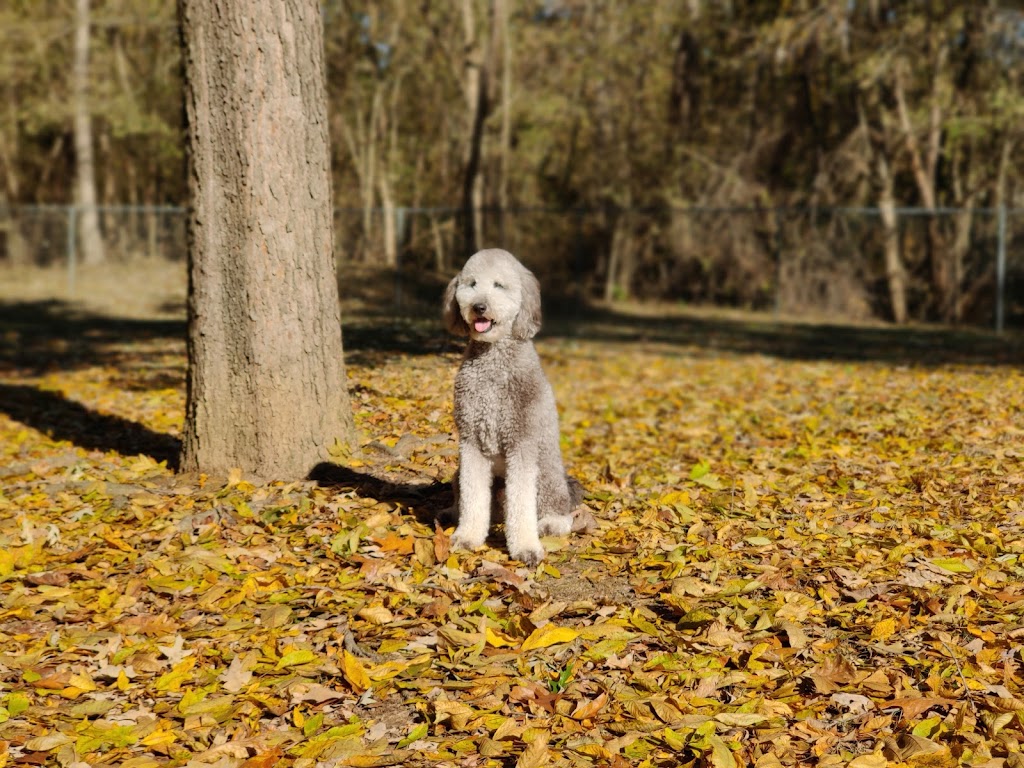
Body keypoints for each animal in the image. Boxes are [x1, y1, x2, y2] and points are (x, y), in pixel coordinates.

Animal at [442, 250, 581, 565]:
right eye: (471, 284)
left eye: (499, 285)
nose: (479, 307)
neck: (493, 362)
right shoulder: (471, 441)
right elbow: (473, 497)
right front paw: (468, 536)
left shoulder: (521, 442)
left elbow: (521, 504)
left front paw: (526, 547)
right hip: (460, 474)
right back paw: (452, 512)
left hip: (547, 472)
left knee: (556, 506)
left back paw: (552, 522)